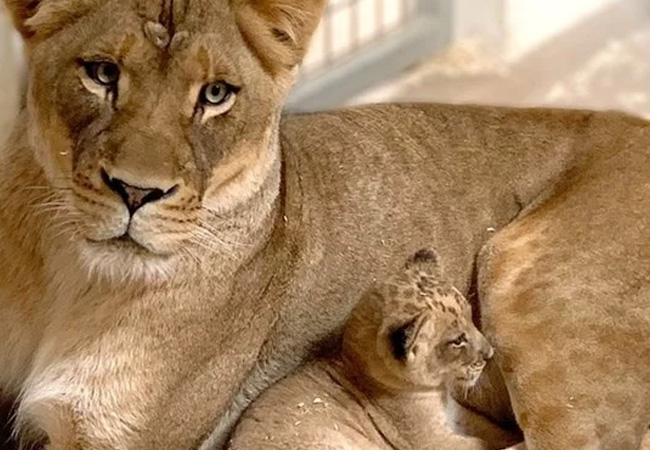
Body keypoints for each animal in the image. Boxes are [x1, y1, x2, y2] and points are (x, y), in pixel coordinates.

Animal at [228, 249, 519, 450]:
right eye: (457, 340)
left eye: (471, 316)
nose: (490, 353)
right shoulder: (434, 441)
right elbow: (482, 445)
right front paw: (519, 439)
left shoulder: (455, 414)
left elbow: (490, 430)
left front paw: (512, 432)